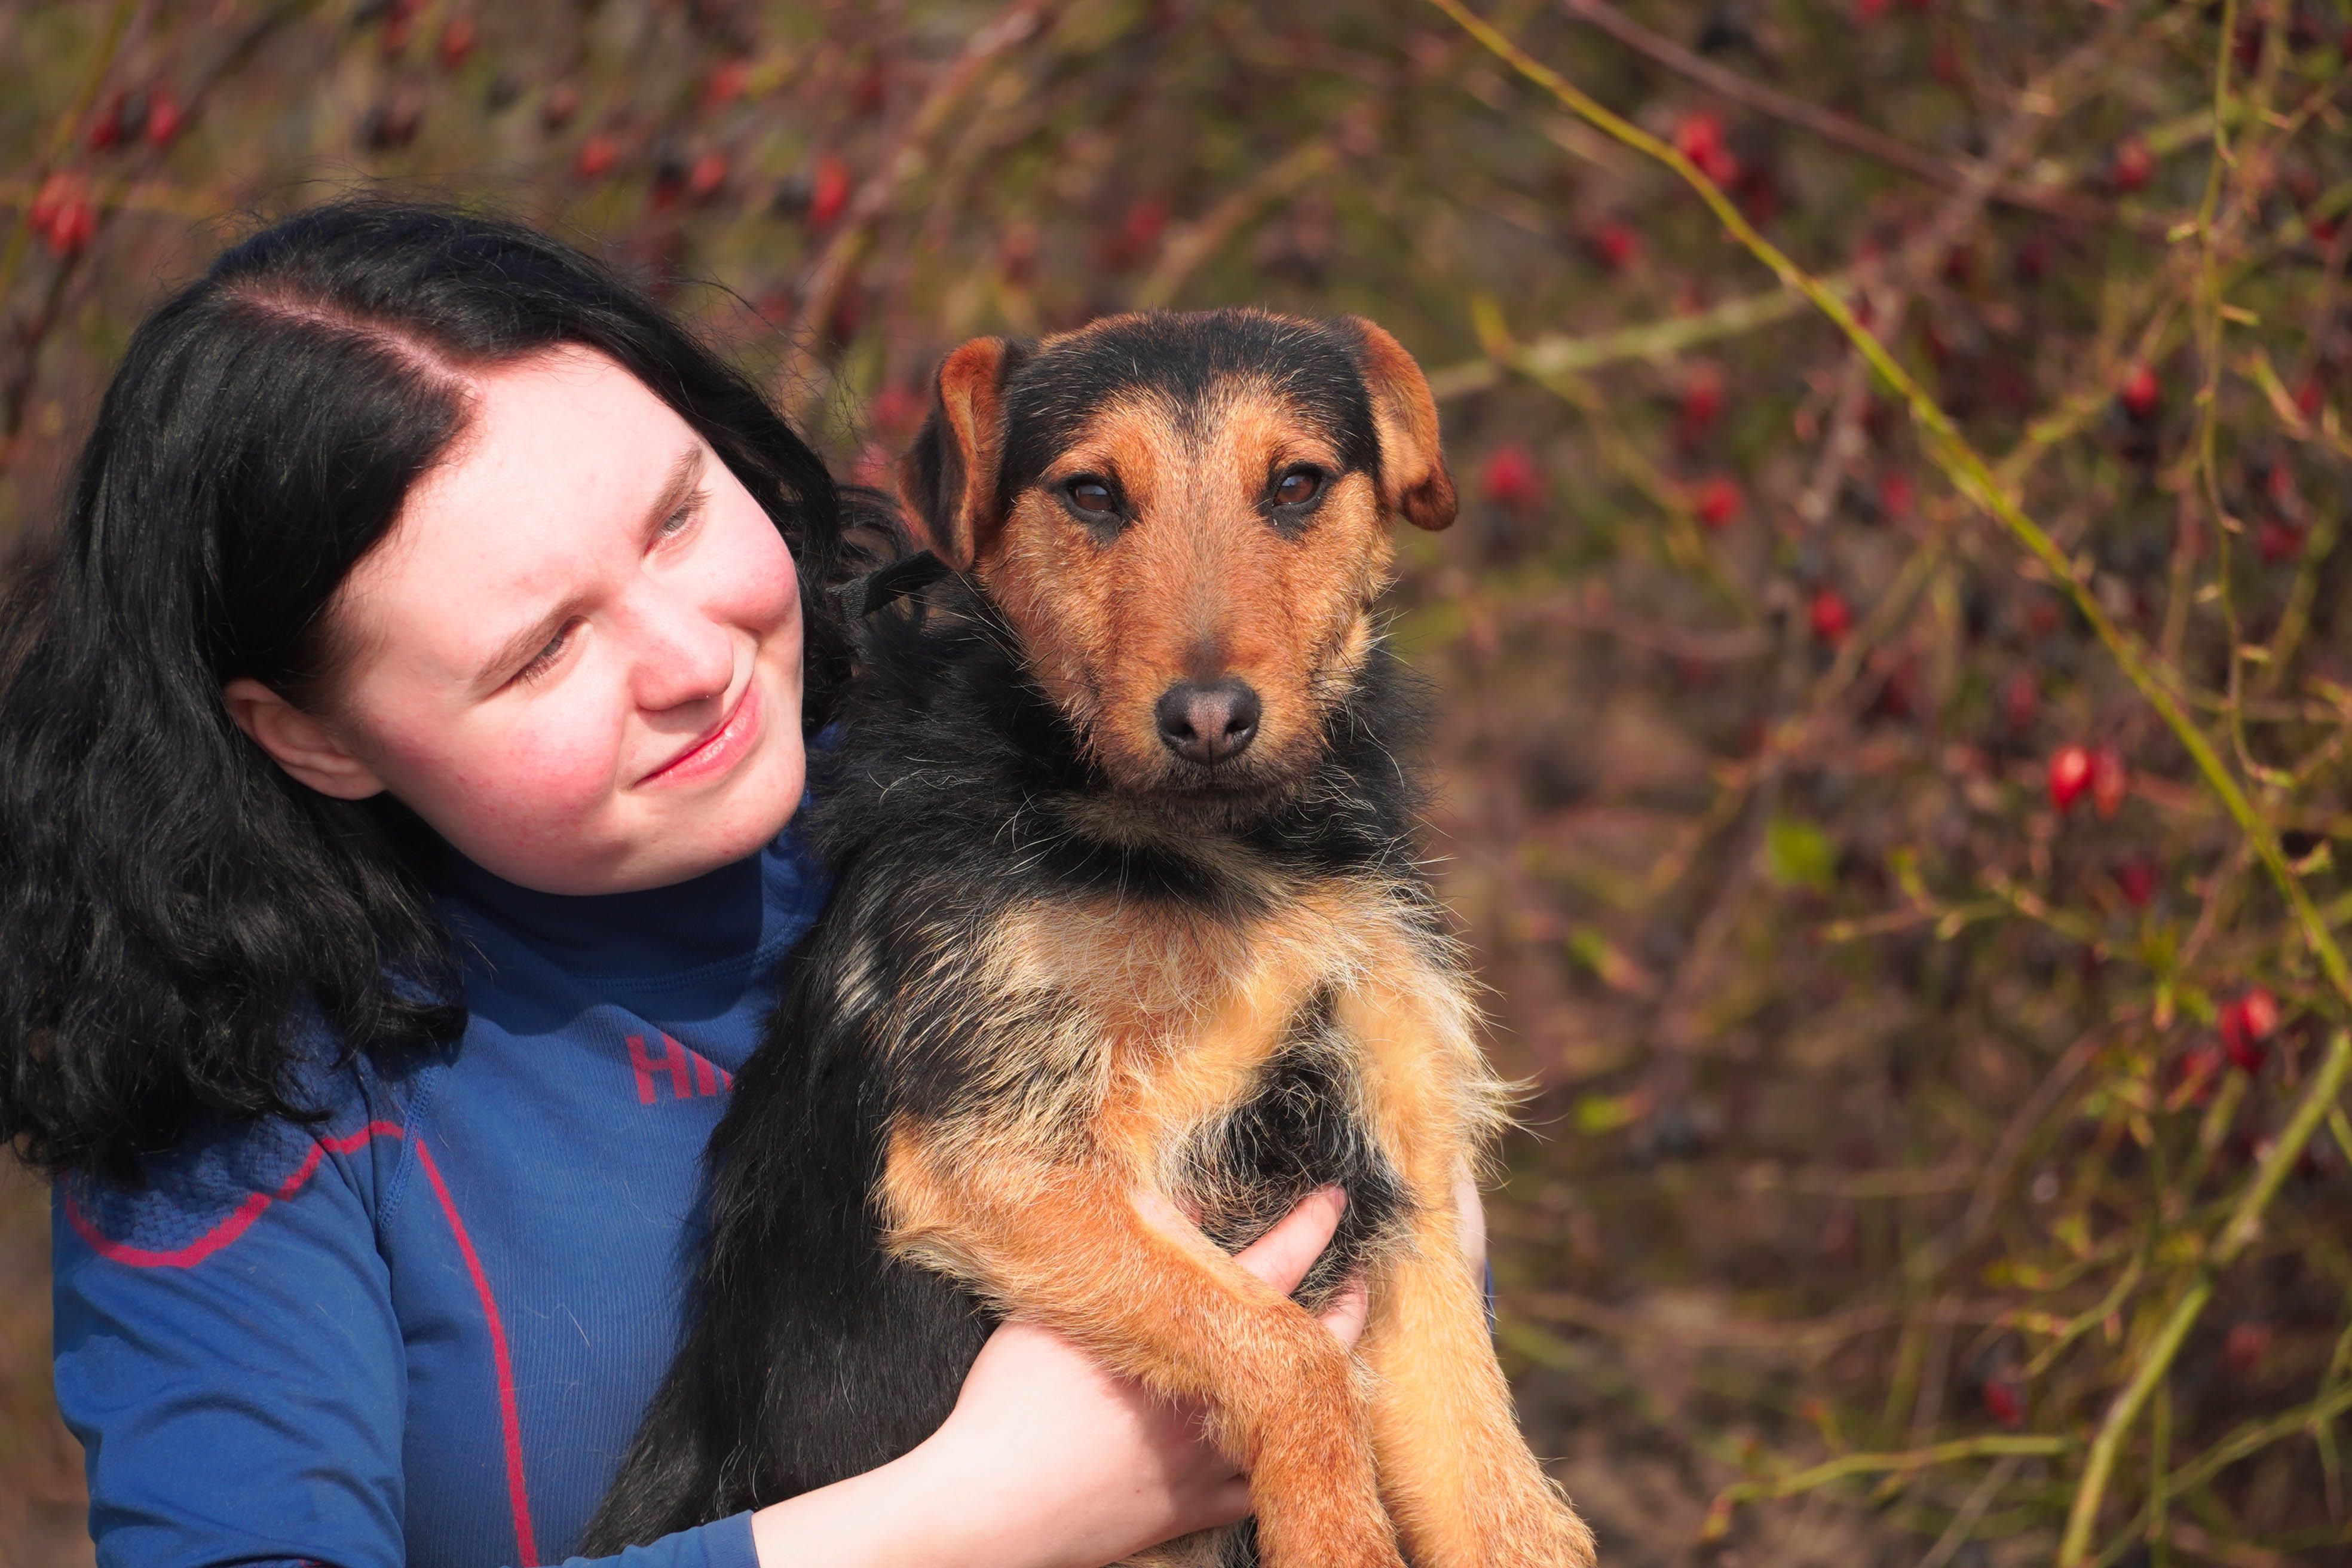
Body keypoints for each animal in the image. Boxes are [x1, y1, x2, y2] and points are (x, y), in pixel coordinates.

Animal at [583, 310, 1599, 1568]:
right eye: (1092, 493)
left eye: (1298, 484)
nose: (1207, 718)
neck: (1224, 861)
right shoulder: (1002, 1155)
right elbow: (1289, 1352)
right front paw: (1332, 1529)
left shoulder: (1404, 1182)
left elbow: (1503, 1503)